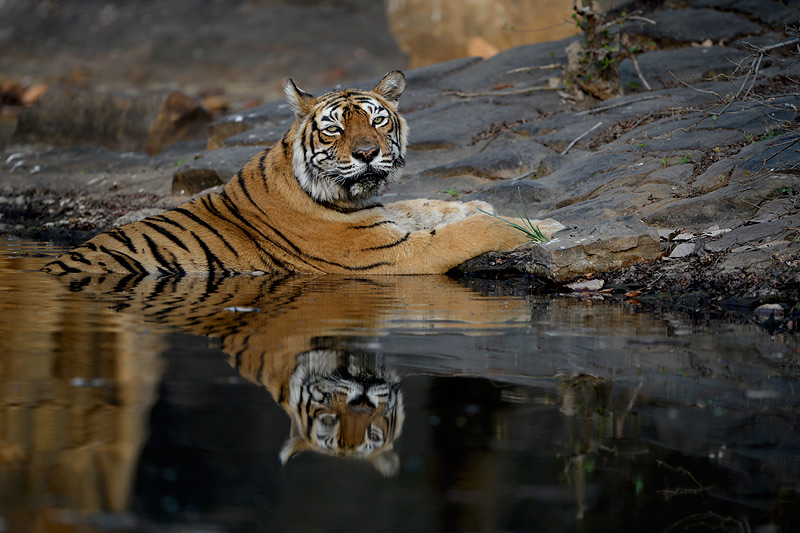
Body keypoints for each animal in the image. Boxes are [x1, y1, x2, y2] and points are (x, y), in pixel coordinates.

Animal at [43, 70, 563, 276]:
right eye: (334, 128)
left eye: (377, 120)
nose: (368, 153)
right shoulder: (393, 257)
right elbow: (468, 233)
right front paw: (542, 226)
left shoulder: (384, 218)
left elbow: (423, 205)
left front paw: (481, 203)